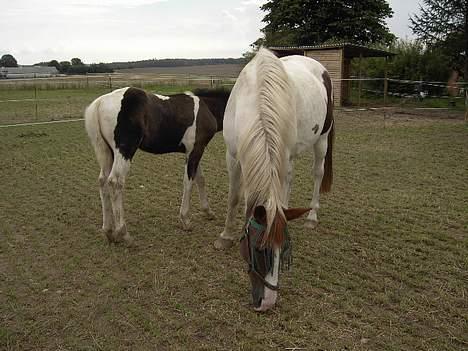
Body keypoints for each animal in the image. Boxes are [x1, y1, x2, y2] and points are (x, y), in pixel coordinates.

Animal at [86, 87, 230, 246]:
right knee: (115, 182)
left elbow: (200, 179)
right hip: (125, 150)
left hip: (106, 152)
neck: (207, 107)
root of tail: (100, 102)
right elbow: (189, 183)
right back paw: (124, 234)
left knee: (103, 181)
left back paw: (109, 231)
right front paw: (186, 220)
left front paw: (208, 212)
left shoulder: (193, 151)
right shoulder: (196, 150)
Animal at [214, 48, 334, 312]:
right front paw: (225, 236)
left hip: (321, 139)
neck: (256, 100)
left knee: (317, 173)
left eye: (285, 252)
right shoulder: (233, 156)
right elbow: (234, 197)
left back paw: (312, 216)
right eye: (260, 250)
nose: (267, 303)